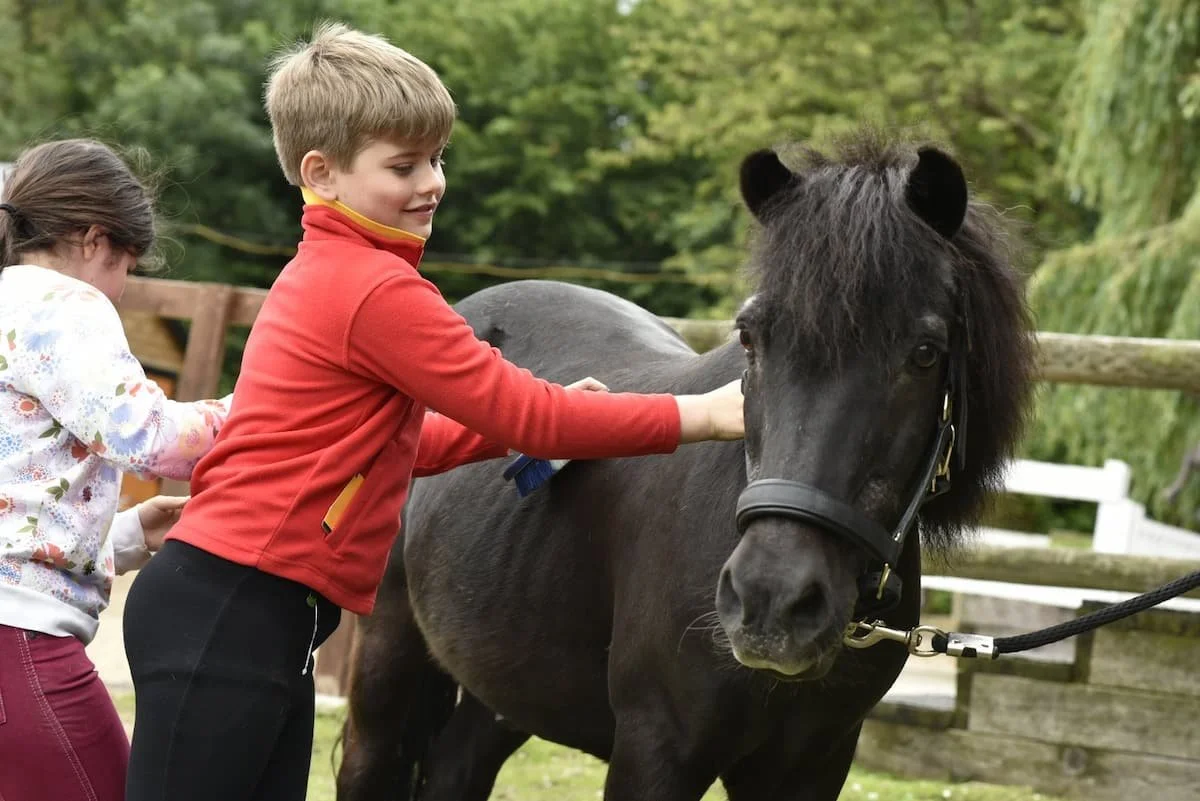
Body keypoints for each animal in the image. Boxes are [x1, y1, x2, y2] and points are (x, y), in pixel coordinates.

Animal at [335, 129, 1036, 801]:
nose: (772, 600)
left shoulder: (813, 766)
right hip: (389, 664)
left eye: (925, 353)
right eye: (750, 337)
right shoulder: (656, 750)